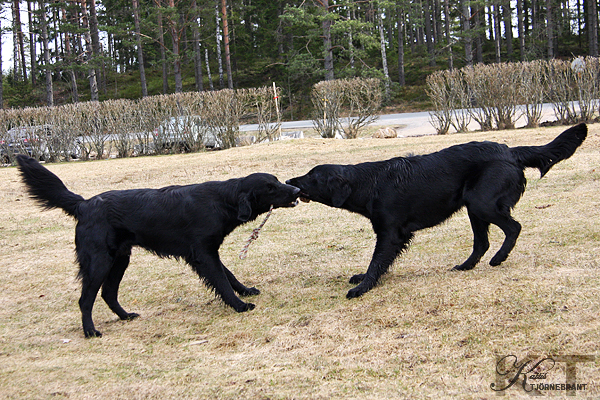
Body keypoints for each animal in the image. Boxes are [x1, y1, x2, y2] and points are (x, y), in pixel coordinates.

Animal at [17, 155, 300, 336]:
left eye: (277, 180)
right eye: (270, 187)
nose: (296, 190)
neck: (222, 201)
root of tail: (84, 204)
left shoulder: (208, 251)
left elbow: (228, 275)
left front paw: (246, 291)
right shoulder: (203, 253)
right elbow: (221, 280)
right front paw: (239, 305)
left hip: (120, 259)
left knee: (108, 293)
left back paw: (125, 316)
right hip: (99, 261)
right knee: (85, 299)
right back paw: (90, 331)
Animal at [288, 125, 588, 300]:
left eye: (312, 176)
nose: (291, 182)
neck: (368, 184)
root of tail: (510, 151)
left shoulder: (391, 233)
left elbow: (377, 261)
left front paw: (362, 287)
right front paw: (363, 279)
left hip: (481, 203)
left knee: (514, 228)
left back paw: (499, 258)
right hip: (473, 207)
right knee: (482, 242)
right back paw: (466, 266)